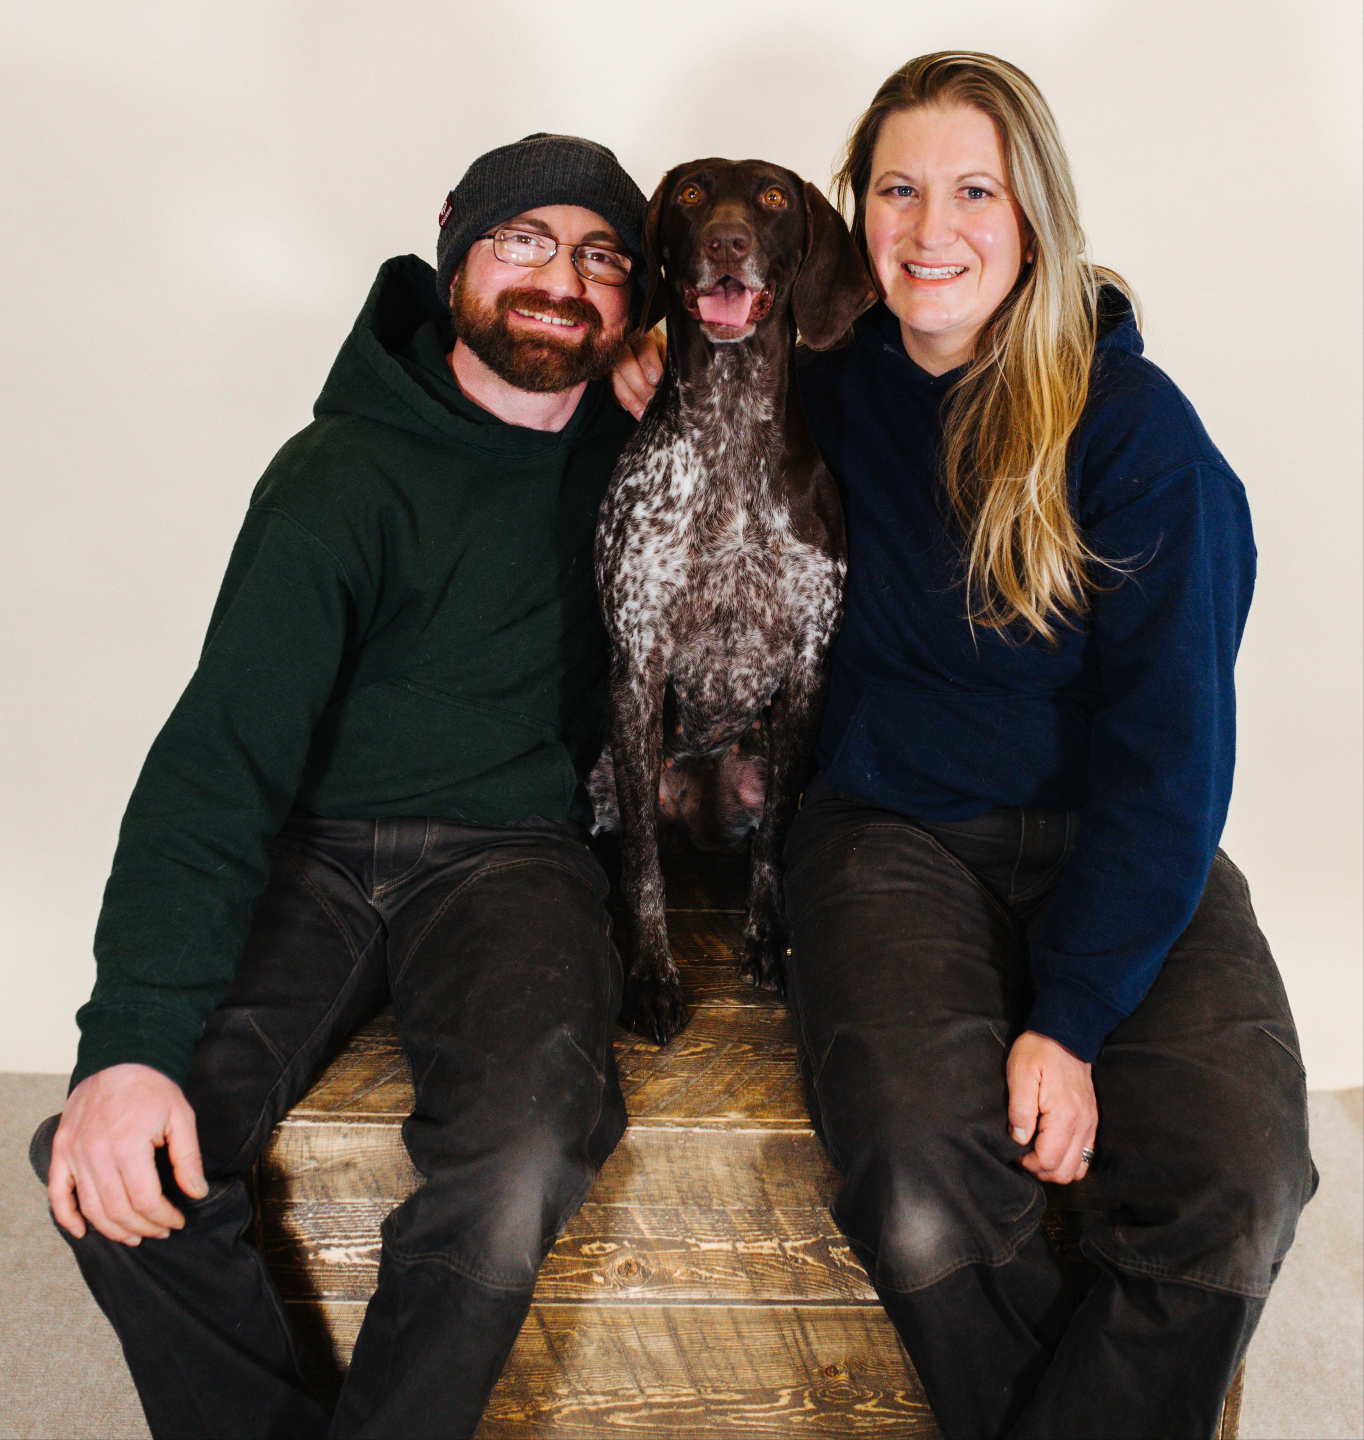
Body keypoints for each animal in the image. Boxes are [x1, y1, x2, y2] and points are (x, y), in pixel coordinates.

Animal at [593, 158, 876, 1043]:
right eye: (689, 195)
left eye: (775, 199)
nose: (725, 242)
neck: (729, 429)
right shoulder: (638, 663)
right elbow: (644, 868)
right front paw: (652, 975)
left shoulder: (811, 664)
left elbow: (778, 838)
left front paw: (767, 934)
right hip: (614, 772)